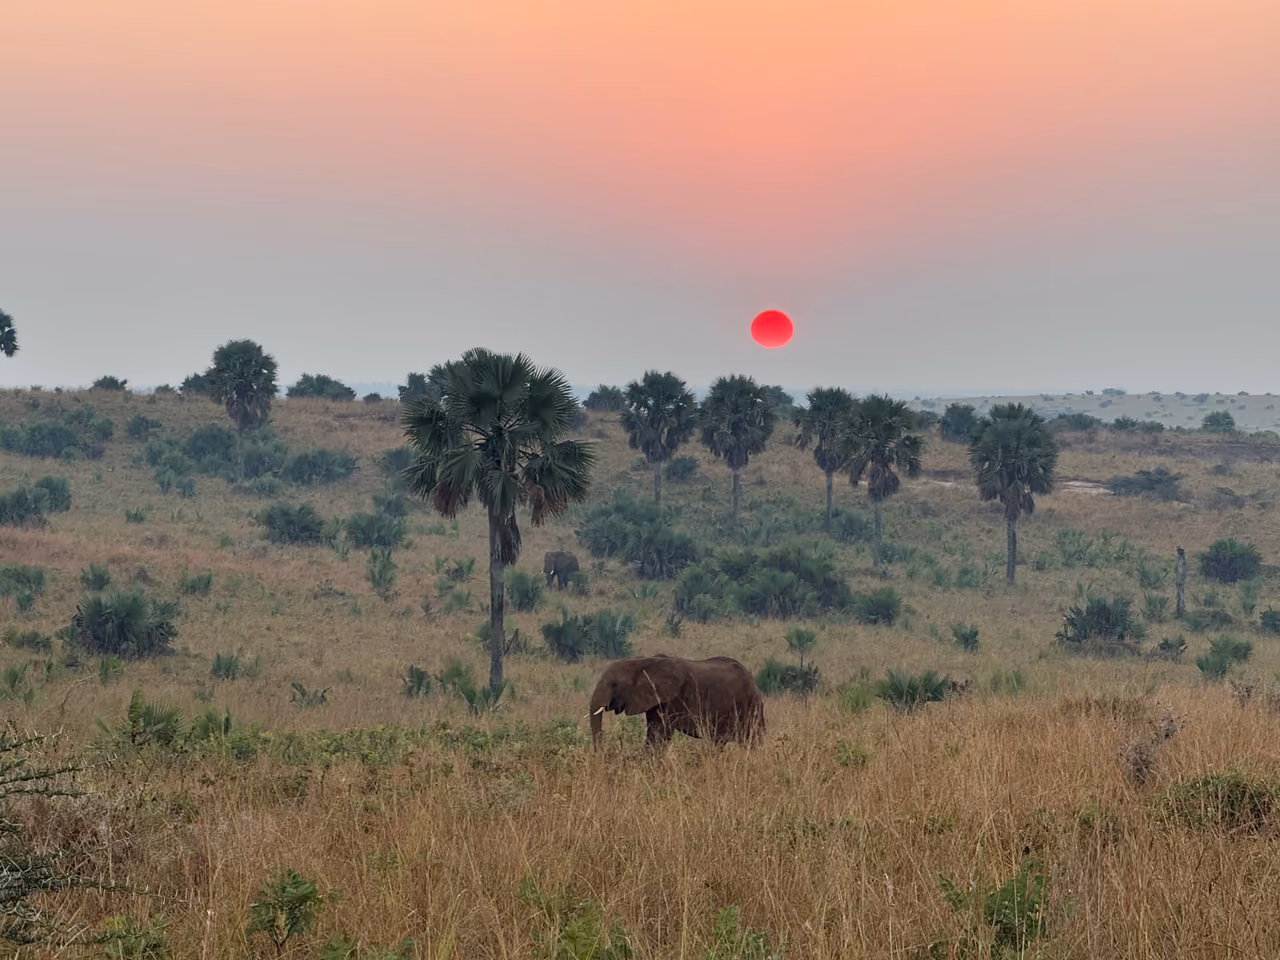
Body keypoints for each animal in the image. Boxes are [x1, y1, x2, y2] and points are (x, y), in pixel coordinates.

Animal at [587, 654, 766, 750]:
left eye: (614, 685)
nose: (603, 755)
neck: (642, 662)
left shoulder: (671, 700)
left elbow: (659, 735)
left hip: (750, 705)